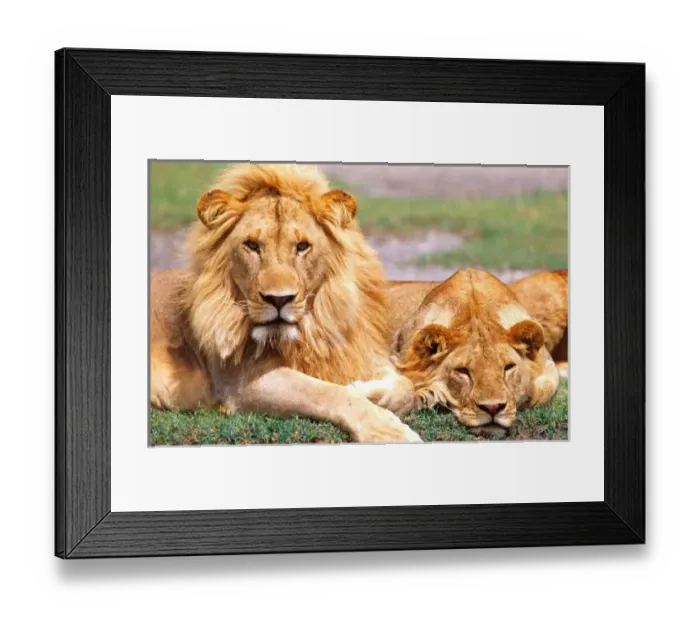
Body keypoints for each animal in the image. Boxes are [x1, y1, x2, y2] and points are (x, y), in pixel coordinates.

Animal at [150, 163, 420, 444]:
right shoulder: (240, 383)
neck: (312, 330)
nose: (278, 299)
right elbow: (329, 393)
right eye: (252, 245)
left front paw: (367, 390)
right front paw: (386, 429)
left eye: (302, 246)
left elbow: (406, 385)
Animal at [353, 269, 560, 429]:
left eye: (508, 367)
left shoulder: (548, 367)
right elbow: (404, 386)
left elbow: (543, 389)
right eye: (463, 371)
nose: (493, 408)